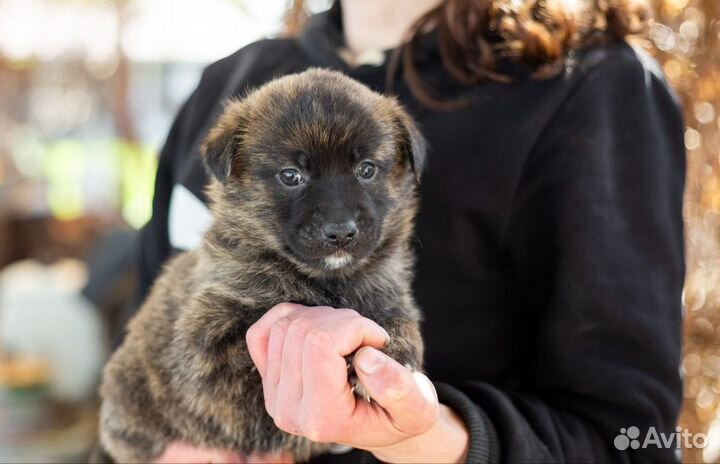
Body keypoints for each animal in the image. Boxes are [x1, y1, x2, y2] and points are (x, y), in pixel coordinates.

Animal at [97, 69, 424, 464]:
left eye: (366, 169)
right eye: (290, 175)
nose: (341, 232)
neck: (327, 280)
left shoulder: (389, 293)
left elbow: (399, 322)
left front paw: (397, 351)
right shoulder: (206, 338)